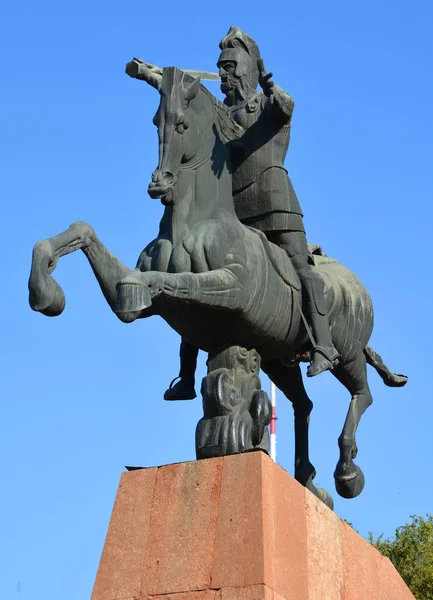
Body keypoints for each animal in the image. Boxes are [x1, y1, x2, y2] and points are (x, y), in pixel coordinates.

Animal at [28, 64, 406, 506]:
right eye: (155, 122)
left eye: (182, 124)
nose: (160, 182)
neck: (191, 224)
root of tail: (356, 286)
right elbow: (84, 235)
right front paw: (45, 292)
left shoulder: (233, 289)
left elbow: (169, 281)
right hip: (279, 361)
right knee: (304, 405)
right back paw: (306, 479)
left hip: (346, 354)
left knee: (362, 395)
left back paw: (346, 472)